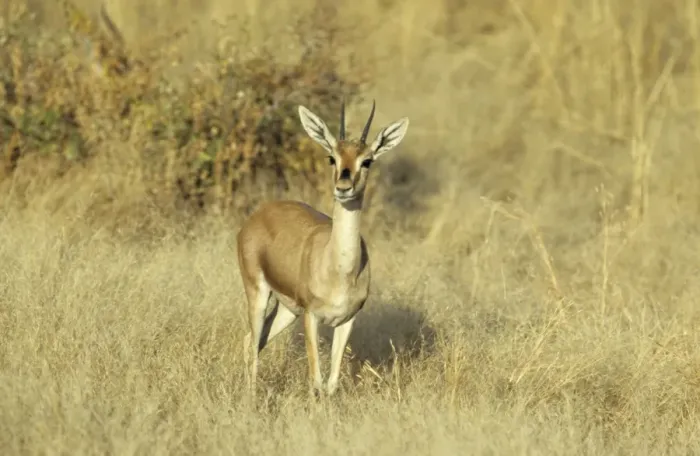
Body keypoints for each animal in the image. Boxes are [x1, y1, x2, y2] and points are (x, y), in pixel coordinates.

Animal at [236, 100, 409, 396]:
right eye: (332, 157)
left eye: (367, 160)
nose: (343, 187)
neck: (339, 269)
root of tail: (257, 215)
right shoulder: (312, 317)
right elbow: (316, 380)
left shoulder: (346, 320)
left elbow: (331, 382)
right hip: (258, 293)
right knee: (253, 342)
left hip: (287, 310)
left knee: (253, 340)